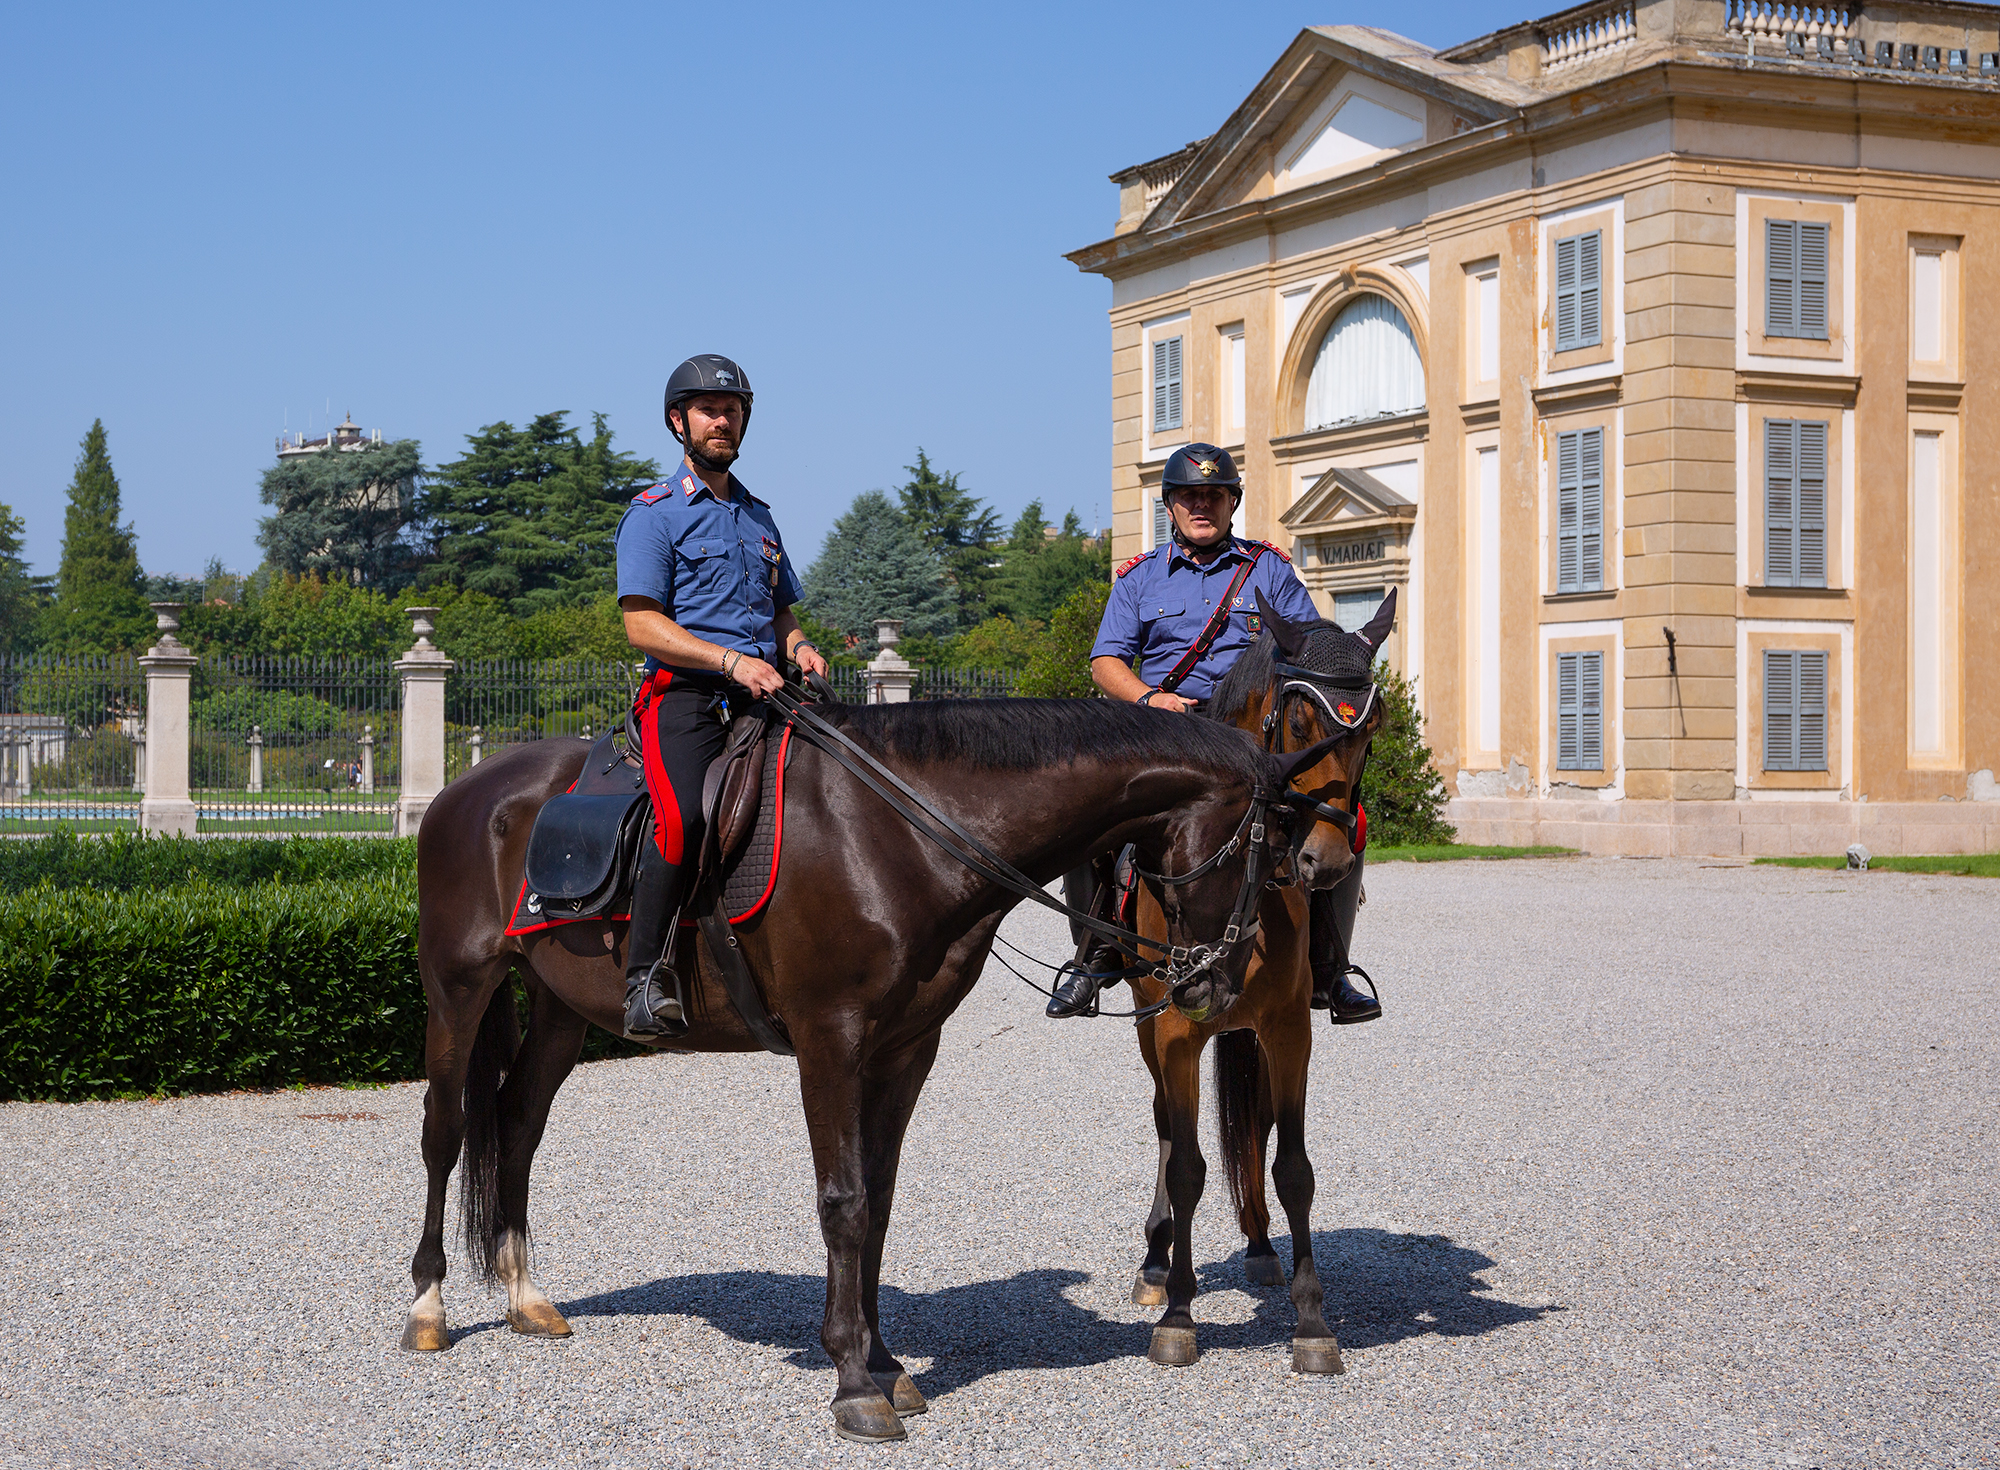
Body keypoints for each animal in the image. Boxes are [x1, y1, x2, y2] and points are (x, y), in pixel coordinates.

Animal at [399, 696, 1345, 1442]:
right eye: (1265, 848)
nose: (1215, 985)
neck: (903, 832)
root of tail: (467, 789)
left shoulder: (905, 1048)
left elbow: (880, 1203)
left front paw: (883, 1361)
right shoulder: (831, 1041)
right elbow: (845, 1202)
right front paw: (853, 1382)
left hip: (562, 1009)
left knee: (517, 1124)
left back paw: (525, 1296)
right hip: (457, 987)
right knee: (447, 1132)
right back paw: (428, 1309)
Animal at [1118, 590, 1395, 1373]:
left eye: (1371, 728)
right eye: (1299, 720)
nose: (1325, 860)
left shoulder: (1288, 1029)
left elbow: (1292, 1166)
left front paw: (1312, 1320)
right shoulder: (1175, 1030)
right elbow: (1186, 1165)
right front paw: (1178, 1314)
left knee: (1257, 1128)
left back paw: (1261, 1246)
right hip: (1153, 1030)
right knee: (1167, 1130)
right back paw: (1156, 1265)